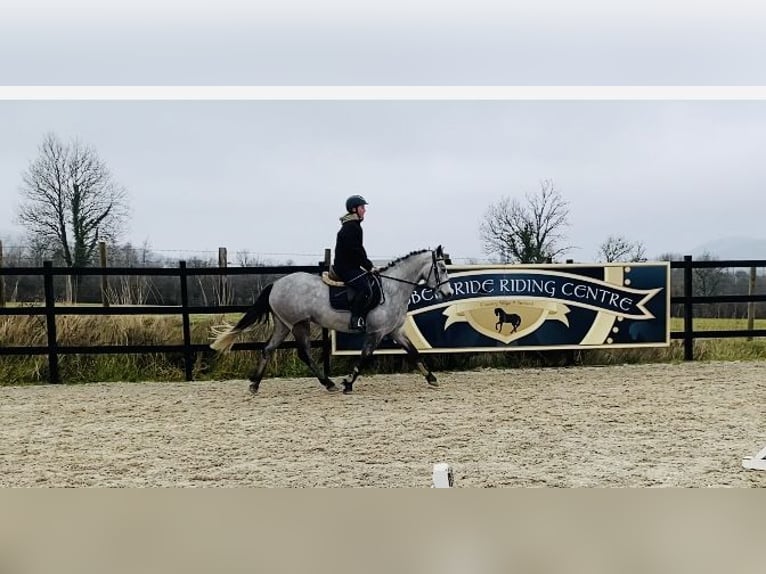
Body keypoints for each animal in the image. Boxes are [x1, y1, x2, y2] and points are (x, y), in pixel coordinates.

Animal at [210, 245, 452, 398]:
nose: (448, 294)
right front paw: (348, 383)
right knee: (304, 353)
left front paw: (432, 378)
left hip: (284, 324)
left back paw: (255, 384)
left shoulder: (394, 331)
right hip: (299, 324)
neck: (393, 288)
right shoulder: (376, 332)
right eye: (441, 269)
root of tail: (276, 284)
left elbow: (414, 352)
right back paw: (329, 383)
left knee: (268, 349)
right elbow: (365, 356)